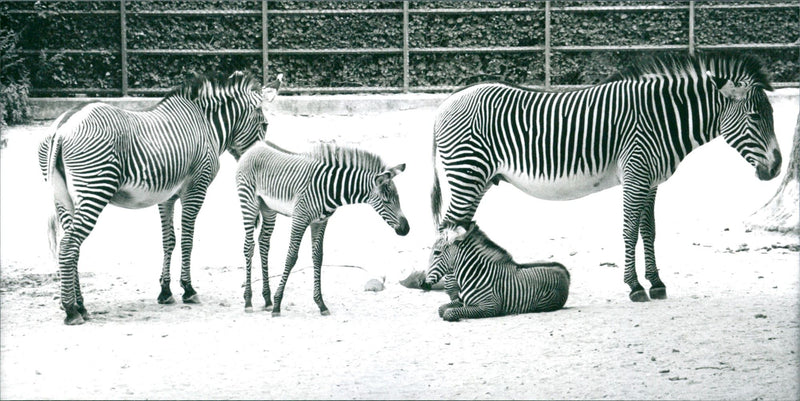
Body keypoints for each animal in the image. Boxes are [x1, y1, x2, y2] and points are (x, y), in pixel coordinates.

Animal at [38, 71, 283, 325]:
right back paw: (71, 310)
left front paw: (165, 292)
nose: (258, 162)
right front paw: (188, 289)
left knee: (71, 244)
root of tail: (63, 126)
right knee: (69, 244)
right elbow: (187, 239)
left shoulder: (167, 196)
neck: (206, 124)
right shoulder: (196, 188)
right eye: (265, 125)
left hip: (63, 198)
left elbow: (169, 240)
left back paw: (81, 305)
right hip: (94, 189)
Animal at [235, 141, 410, 316]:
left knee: (264, 242)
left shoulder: (320, 222)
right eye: (386, 201)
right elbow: (291, 257)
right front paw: (278, 304)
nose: (406, 229)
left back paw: (267, 299)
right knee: (249, 246)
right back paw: (249, 301)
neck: (330, 189)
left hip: (268, 209)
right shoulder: (300, 219)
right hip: (249, 202)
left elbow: (318, 257)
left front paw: (321, 304)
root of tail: (256, 146)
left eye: (398, 198)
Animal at [421, 222, 570, 321]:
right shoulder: (462, 301)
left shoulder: (489, 307)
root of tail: (564, 271)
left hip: (544, 302)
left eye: (436, 252)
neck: (474, 275)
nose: (424, 284)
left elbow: (449, 312)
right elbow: (441, 309)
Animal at [430, 53, 782, 302]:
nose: (777, 167)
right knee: (446, 228)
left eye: (772, 115)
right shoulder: (636, 174)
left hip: (478, 179)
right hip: (466, 174)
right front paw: (634, 286)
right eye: (755, 116)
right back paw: (451, 289)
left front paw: (656, 282)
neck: (662, 118)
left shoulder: (651, 181)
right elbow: (628, 231)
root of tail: (445, 103)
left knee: (457, 228)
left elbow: (648, 231)